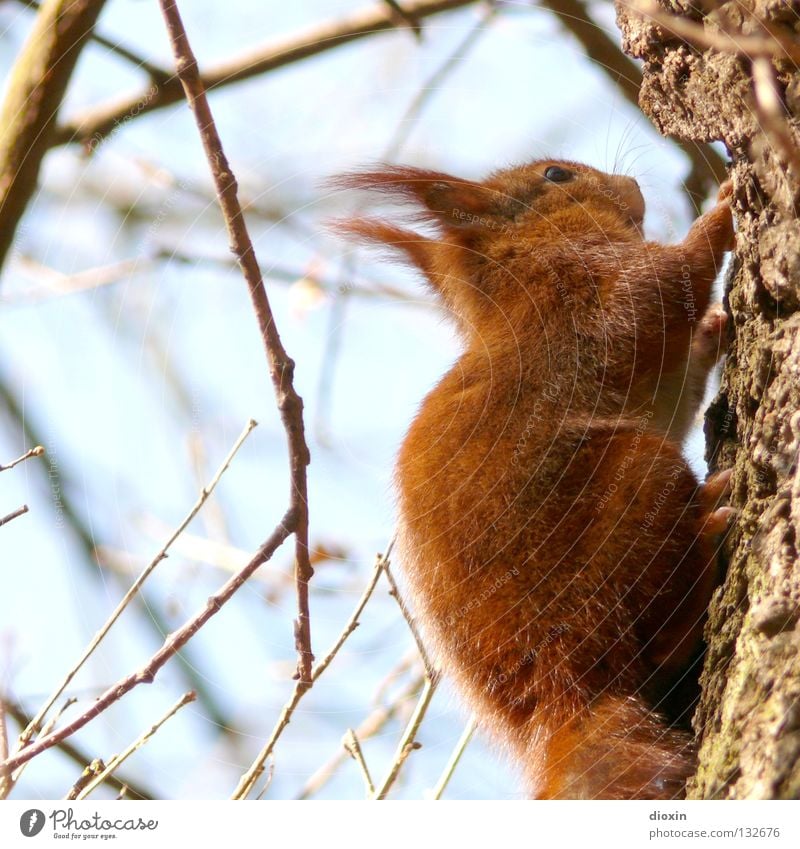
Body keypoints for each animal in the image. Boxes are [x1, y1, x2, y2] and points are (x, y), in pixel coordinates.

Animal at [332, 157, 736, 796]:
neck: (521, 266)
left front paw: (716, 326)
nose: (632, 185)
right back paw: (706, 532)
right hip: (636, 485)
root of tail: (564, 695)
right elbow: (667, 284)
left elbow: (682, 376)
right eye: (556, 174)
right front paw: (722, 211)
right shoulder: (585, 296)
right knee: (653, 645)